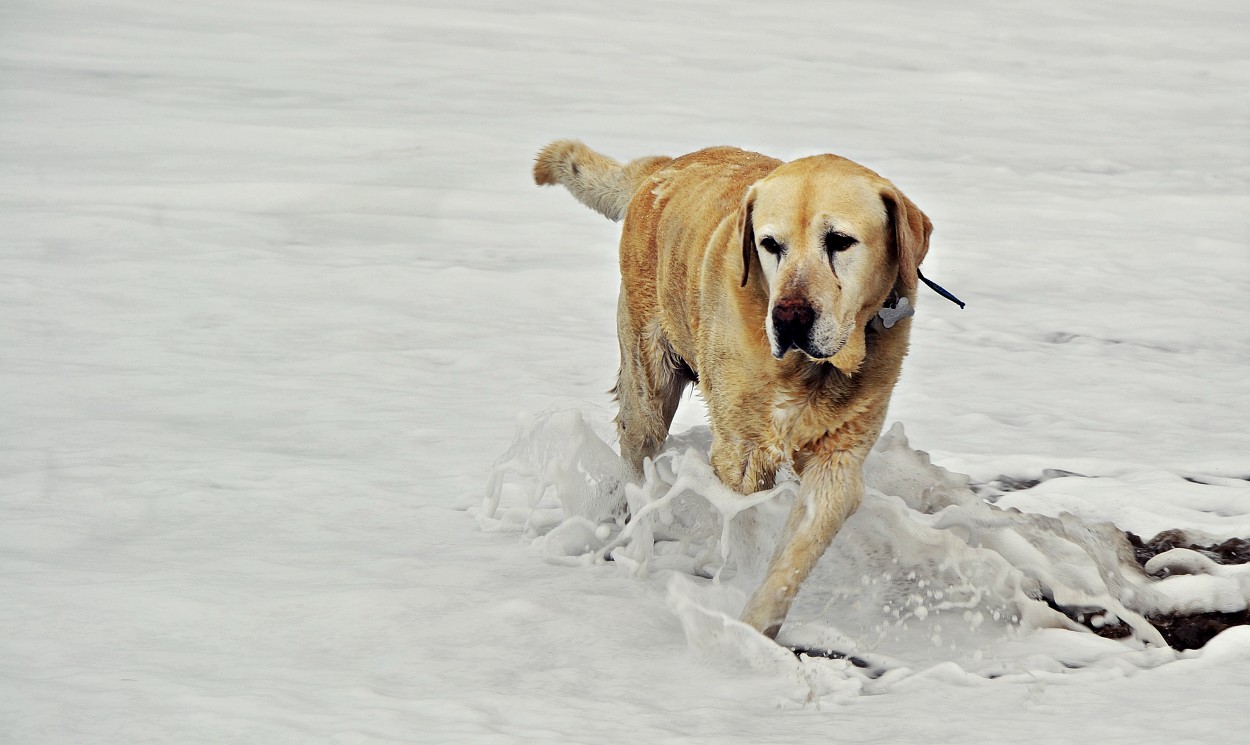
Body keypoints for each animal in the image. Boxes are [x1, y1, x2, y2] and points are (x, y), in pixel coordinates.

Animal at [532, 141, 935, 640]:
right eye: (770, 244)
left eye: (840, 241)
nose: (789, 317)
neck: (809, 372)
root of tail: (662, 168)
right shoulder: (741, 452)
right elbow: (743, 516)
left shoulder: (838, 462)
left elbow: (795, 555)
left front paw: (757, 627)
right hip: (648, 379)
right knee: (638, 452)